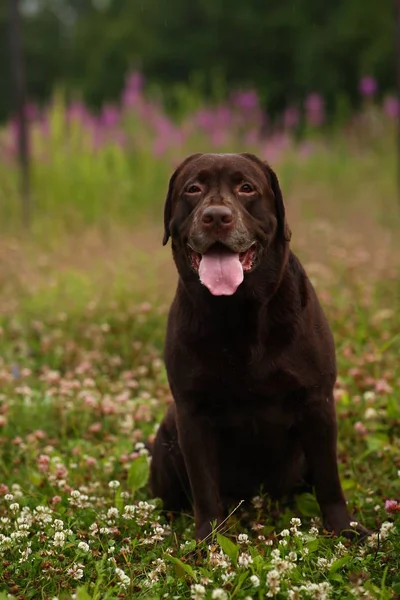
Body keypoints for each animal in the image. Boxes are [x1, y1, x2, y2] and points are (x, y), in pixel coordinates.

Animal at [149, 152, 368, 540]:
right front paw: (207, 541)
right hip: (168, 432)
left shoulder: (318, 402)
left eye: (246, 188)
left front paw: (344, 529)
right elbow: (204, 488)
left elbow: (330, 480)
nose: (216, 216)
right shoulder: (191, 412)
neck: (237, 311)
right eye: (193, 188)